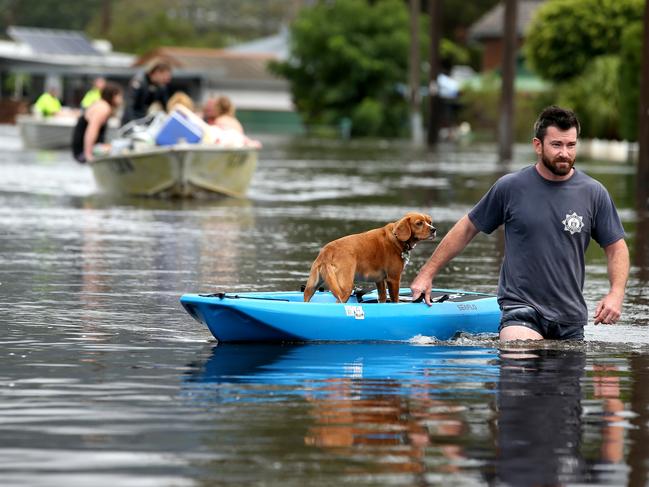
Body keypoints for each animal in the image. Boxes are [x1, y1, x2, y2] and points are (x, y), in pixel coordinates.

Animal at [304, 213, 436, 304]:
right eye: (419, 223)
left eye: (429, 221)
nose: (434, 229)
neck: (396, 237)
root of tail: (328, 251)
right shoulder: (394, 279)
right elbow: (395, 300)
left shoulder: (380, 281)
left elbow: (382, 298)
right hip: (344, 289)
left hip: (311, 287)